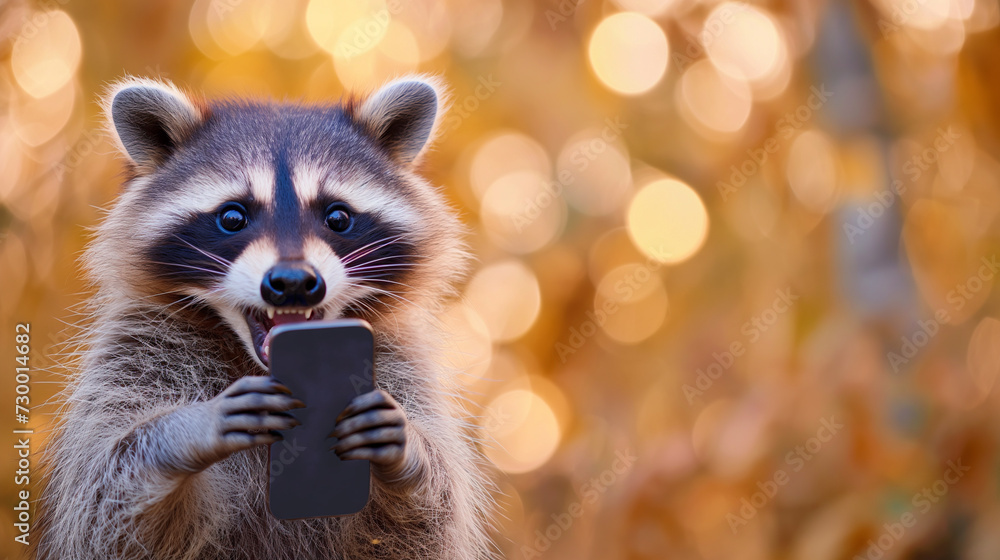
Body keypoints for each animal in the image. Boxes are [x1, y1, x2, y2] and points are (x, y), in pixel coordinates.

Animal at [33, 76, 494, 560]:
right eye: (233, 216)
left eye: (337, 216)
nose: (292, 282)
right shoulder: (133, 353)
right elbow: (104, 509)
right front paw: (183, 431)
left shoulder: (401, 365)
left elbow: (425, 529)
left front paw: (410, 454)